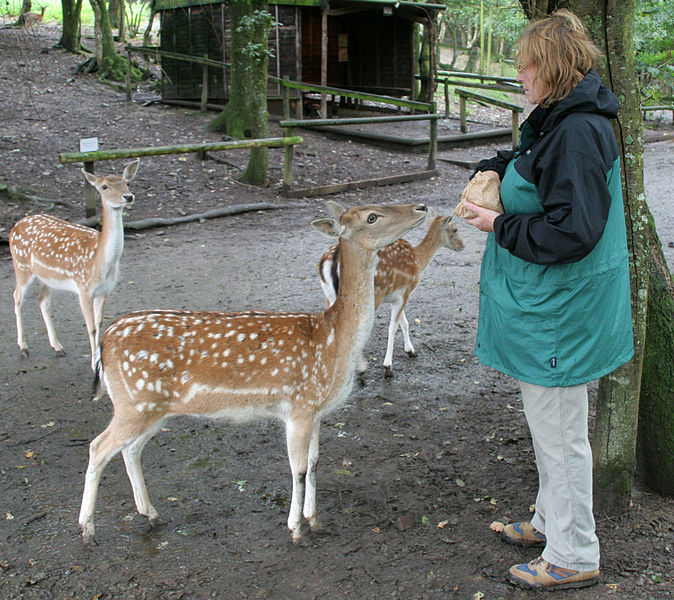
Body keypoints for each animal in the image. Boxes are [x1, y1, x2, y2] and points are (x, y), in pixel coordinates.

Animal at [8, 159, 139, 370]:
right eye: (104, 186)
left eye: (127, 182)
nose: (128, 196)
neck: (100, 261)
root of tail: (15, 226)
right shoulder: (83, 289)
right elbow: (92, 328)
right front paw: (94, 364)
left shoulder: (105, 290)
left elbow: (99, 324)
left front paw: (99, 361)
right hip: (21, 266)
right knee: (17, 296)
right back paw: (24, 347)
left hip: (48, 278)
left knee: (42, 299)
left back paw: (57, 347)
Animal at [77, 199, 426, 540]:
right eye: (372, 216)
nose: (421, 208)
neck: (334, 340)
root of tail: (105, 342)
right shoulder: (298, 407)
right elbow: (298, 469)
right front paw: (295, 528)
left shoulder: (316, 411)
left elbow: (314, 463)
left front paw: (314, 520)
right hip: (134, 402)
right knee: (97, 447)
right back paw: (87, 529)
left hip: (152, 408)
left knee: (130, 450)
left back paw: (150, 514)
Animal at [318, 211, 460, 378]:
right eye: (455, 229)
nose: (462, 245)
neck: (419, 260)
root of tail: (332, 260)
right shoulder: (406, 291)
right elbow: (393, 326)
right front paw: (388, 366)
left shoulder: (397, 296)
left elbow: (405, 322)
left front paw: (411, 351)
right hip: (371, 294)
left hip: (329, 295)